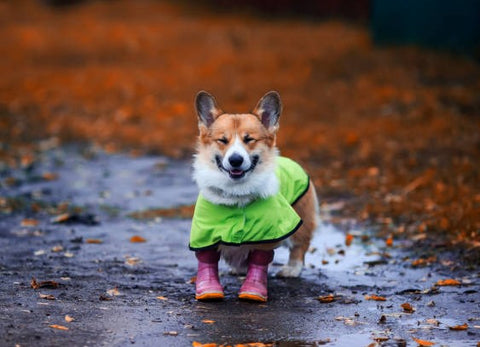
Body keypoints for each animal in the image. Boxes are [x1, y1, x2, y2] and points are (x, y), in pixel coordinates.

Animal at [188, 92, 318, 302]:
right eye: (222, 140)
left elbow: (260, 260)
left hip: (301, 219)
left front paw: (254, 289)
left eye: (249, 139)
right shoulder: (205, 232)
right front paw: (208, 289)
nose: (235, 160)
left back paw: (291, 269)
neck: (236, 194)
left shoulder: (268, 234)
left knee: (300, 246)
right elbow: (207, 259)